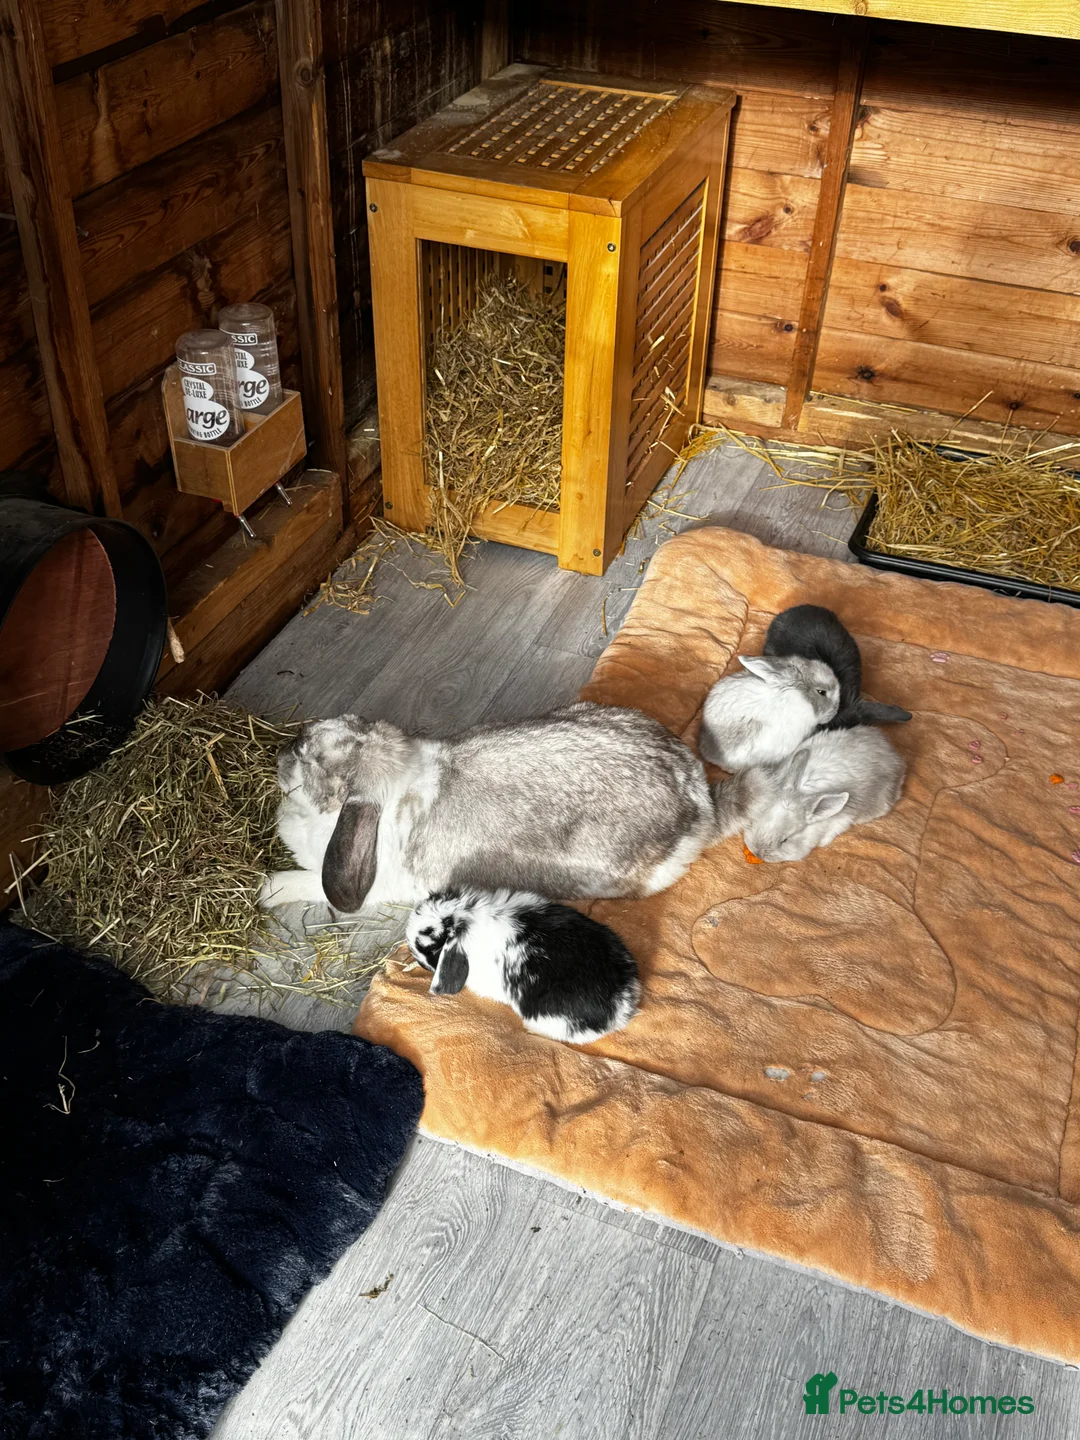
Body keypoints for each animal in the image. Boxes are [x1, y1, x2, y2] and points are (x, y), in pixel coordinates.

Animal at [714, 725, 905, 862]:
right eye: (756, 819)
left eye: (785, 840)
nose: (758, 852)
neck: (802, 793)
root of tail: (893, 753)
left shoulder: (842, 819)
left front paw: (822, 843)